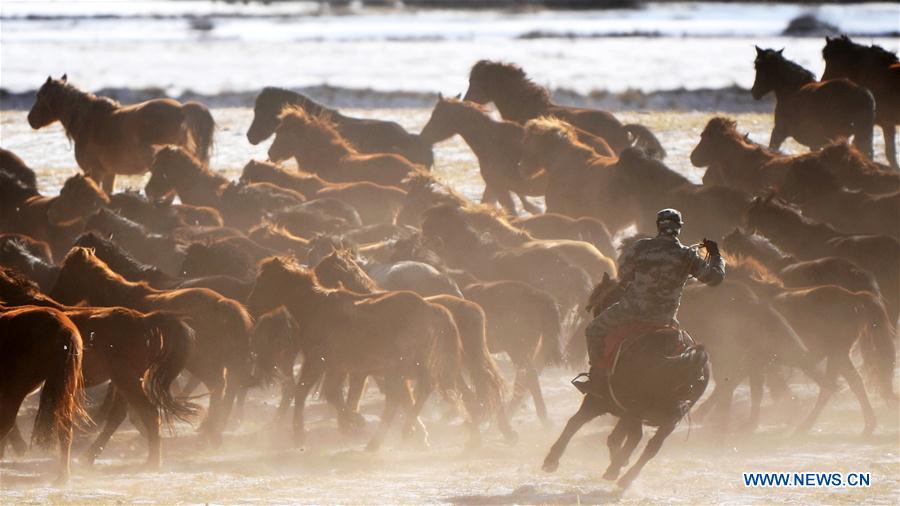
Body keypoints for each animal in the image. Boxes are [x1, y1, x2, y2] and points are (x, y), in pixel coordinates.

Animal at [0, 304, 86, 484]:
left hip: (16, 388)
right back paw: (63, 477)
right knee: (65, 427)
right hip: (65, 391)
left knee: (6, 422)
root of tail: (64, 327)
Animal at [27, 75, 214, 192]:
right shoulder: (109, 173)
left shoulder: (95, 172)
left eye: (39, 95)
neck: (88, 120)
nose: (30, 119)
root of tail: (181, 109)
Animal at [49, 247, 253, 446]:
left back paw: (210, 430)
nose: (54, 299)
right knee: (226, 389)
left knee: (218, 385)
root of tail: (223, 304)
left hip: (200, 362)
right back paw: (213, 429)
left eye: (67, 272)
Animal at [246, 257, 463, 451]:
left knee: (408, 394)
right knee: (412, 393)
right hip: (405, 368)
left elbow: (306, 393)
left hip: (401, 367)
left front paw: (303, 433)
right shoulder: (338, 367)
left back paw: (389, 437)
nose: (250, 307)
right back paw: (394, 437)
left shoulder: (318, 362)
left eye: (264, 280)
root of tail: (430, 307)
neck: (317, 308)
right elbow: (331, 394)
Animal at [542, 273, 709, 489]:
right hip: (666, 419)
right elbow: (614, 437)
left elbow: (575, 422)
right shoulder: (624, 412)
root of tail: (679, 350)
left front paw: (551, 460)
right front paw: (620, 460)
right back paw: (625, 477)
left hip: (637, 409)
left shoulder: (597, 401)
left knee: (637, 438)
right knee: (652, 446)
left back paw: (614, 471)